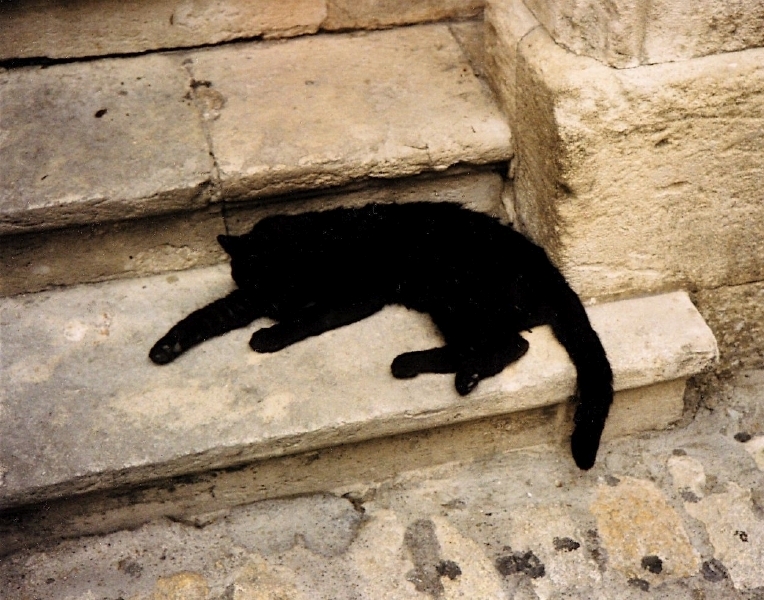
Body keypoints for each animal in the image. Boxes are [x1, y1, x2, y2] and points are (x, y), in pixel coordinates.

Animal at [151, 202, 616, 468]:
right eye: (249, 275)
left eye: (284, 275)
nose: (273, 304)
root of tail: (547, 267)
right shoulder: (244, 300)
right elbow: (203, 317)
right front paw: (165, 346)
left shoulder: (356, 298)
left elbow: (308, 320)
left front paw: (268, 336)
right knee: (508, 342)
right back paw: (462, 375)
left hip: (455, 295)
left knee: (507, 343)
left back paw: (415, 365)